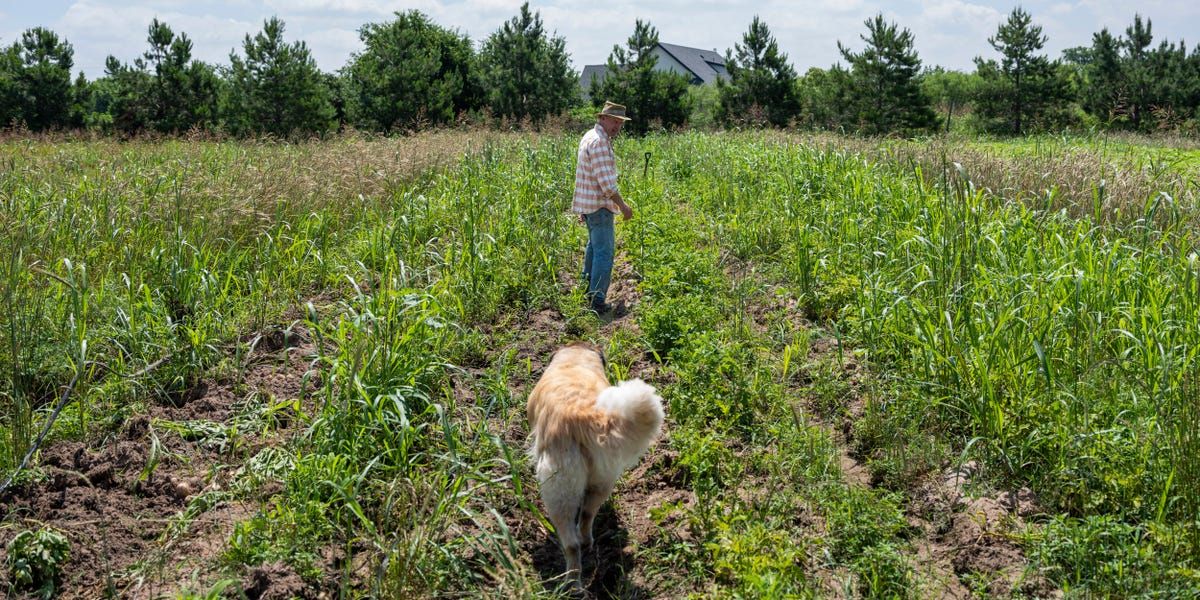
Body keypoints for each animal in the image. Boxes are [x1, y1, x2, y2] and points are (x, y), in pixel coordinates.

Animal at [528, 345, 667, 588]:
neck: (575, 361)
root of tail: (583, 414)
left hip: (559, 492)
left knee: (571, 543)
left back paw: (572, 583)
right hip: (603, 481)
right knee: (587, 515)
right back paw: (587, 543)